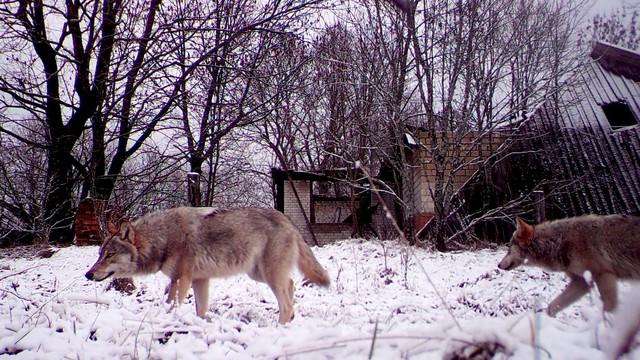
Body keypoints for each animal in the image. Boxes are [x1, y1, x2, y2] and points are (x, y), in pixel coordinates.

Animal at [85, 207, 330, 324]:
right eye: (100, 254)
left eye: (110, 255)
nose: (88, 274)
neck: (165, 238)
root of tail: (288, 221)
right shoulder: (199, 280)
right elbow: (201, 310)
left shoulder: (181, 279)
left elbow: (172, 305)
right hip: (259, 274)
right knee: (291, 285)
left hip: (268, 275)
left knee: (286, 300)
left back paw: (279, 327)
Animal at [500, 214, 640, 316]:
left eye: (509, 249)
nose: (498, 265)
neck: (559, 242)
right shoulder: (581, 283)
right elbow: (552, 306)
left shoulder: (604, 275)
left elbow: (609, 307)